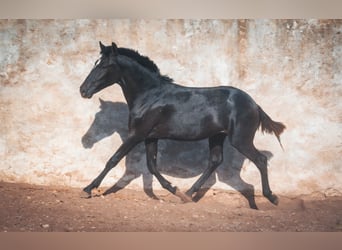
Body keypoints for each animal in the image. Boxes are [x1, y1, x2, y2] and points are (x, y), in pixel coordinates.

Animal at [79, 41, 284, 205]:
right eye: (96, 63)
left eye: (104, 65)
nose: (83, 90)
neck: (149, 95)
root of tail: (254, 104)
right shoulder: (150, 137)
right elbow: (151, 166)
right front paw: (174, 190)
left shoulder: (137, 134)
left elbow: (113, 160)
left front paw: (88, 189)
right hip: (217, 137)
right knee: (215, 161)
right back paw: (188, 194)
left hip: (240, 139)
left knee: (260, 160)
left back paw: (271, 197)